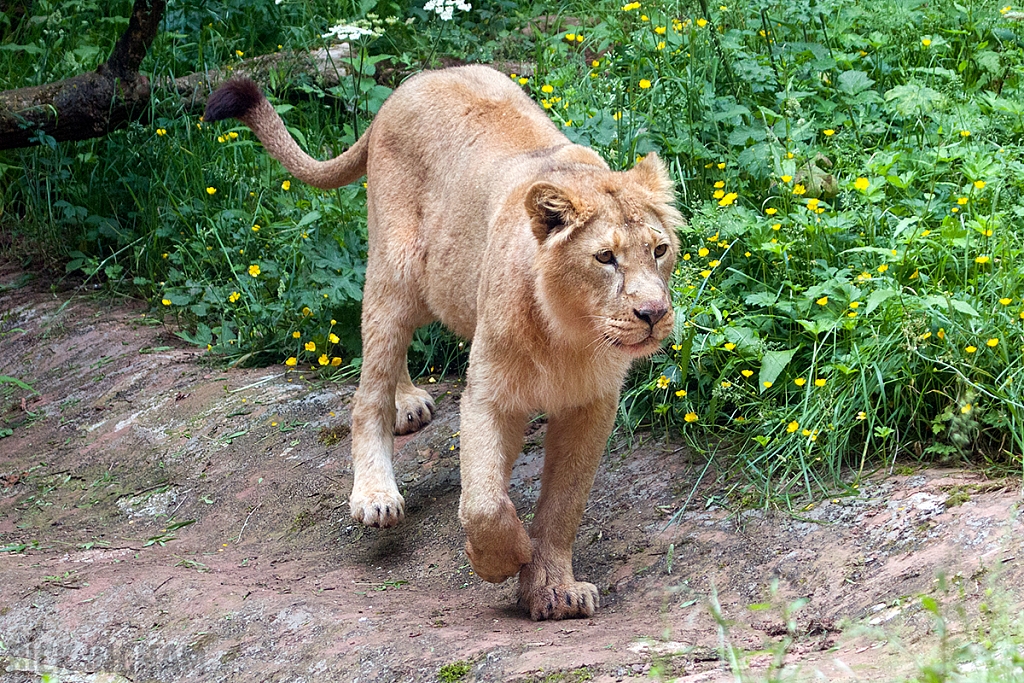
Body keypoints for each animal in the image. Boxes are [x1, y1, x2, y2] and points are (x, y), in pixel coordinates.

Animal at [203, 65, 679, 618]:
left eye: (659, 250)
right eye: (605, 258)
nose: (653, 314)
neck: (571, 336)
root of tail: (410, 85)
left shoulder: (592, 406)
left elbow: (564, 505)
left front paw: (554, 588)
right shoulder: (489, 393)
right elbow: (484, 503)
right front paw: (502, 558)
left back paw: (407, 401)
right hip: (396, 270)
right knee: (368, 391)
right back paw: (376, 492)